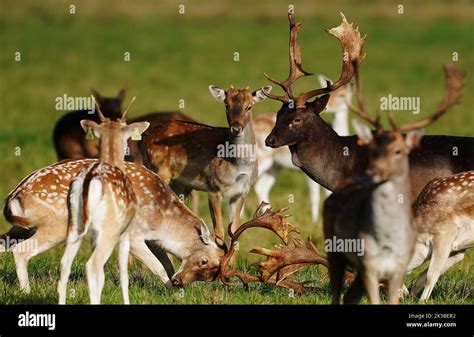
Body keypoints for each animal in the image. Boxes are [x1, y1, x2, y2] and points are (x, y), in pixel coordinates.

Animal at [56, 96, 148, 304]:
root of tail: (89, 180)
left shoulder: (93, 235)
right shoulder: (126, 230)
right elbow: (124, 274)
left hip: (74, 224)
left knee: (65, 264)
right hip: (109, 229)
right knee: (92, 266)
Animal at [139, 85, 270, 245]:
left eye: (249, 106)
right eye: (227, 105)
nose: (236, 128)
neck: (237, 166)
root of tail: (144, 136)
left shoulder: (241, 192)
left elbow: (234, 231)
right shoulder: (213, 188)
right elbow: (219, 231)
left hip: (179, 185)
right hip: (158, 170)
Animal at [252, 77, 352, 222]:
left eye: (343, 95)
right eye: (277, 115)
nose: (269, 140)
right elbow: (315, 196)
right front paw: (315, 220)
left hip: (275, 167)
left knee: (262, 186)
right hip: (259, 159)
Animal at [406, 171, 472, 300]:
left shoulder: (445, 233)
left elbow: (431, 275)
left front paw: (422, 300)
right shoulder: (458, 248)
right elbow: (427, 275)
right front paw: (412, 296)